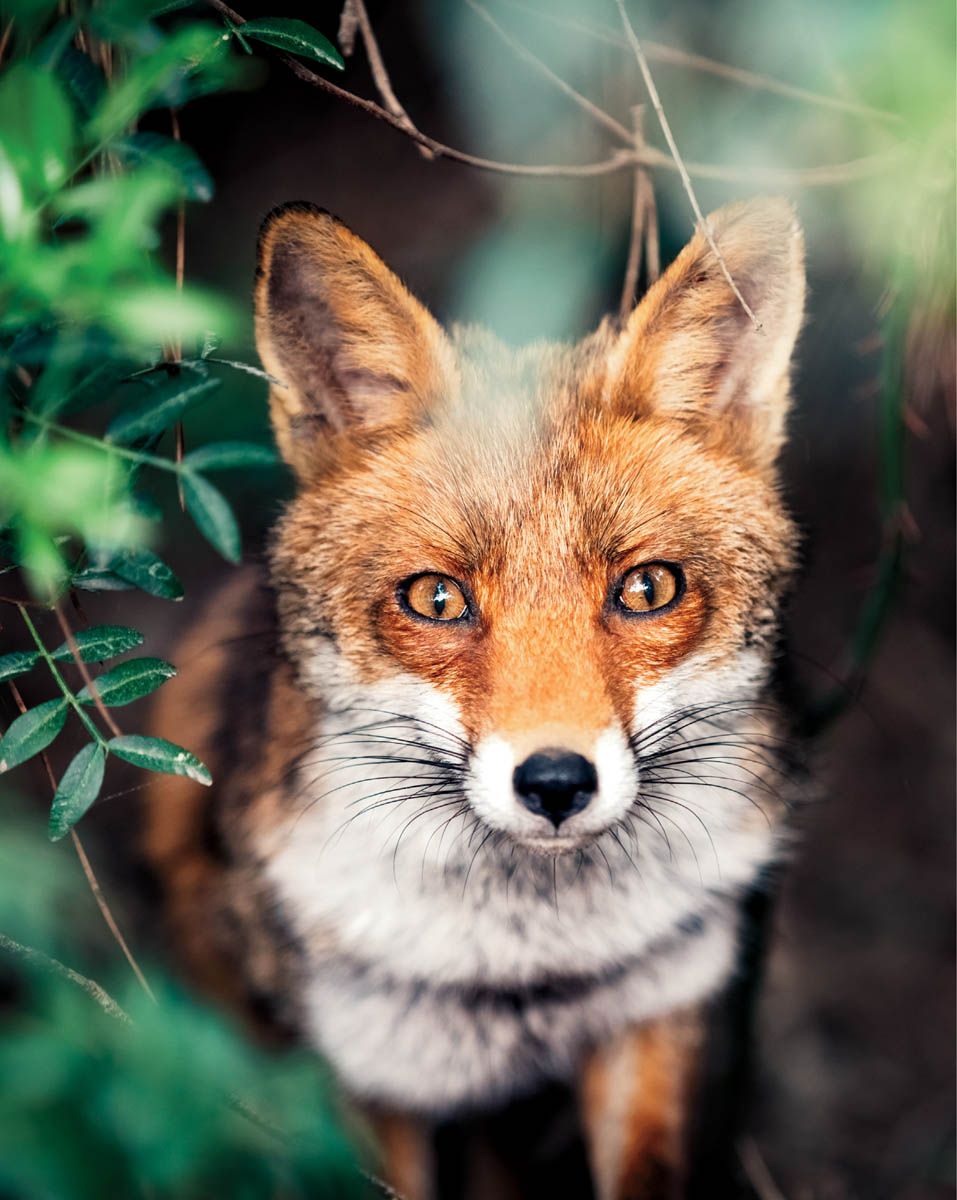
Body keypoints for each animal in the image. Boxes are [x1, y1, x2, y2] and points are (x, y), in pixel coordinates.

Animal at [144, 199, 810, 1200]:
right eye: (437, 599)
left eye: (646, 588)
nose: (555, 782)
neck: (524, 967)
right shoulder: (368, 1077)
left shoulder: (655, 1015)